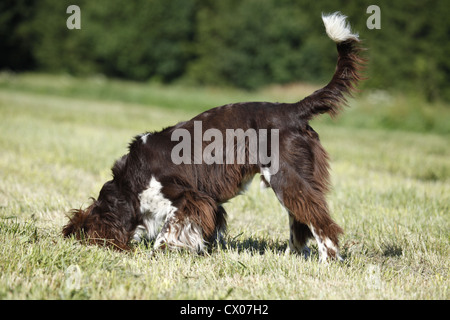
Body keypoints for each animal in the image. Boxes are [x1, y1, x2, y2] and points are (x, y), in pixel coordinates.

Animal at [63, 13, 366, 262]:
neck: (130, 183)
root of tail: (292, 109)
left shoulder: (190, 197)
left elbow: (166, 232)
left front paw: (159, 252)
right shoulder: (210, 203)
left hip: (285, 177)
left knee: (318, 219)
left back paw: (328, 260)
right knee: (300, 219)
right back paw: (292, 257)